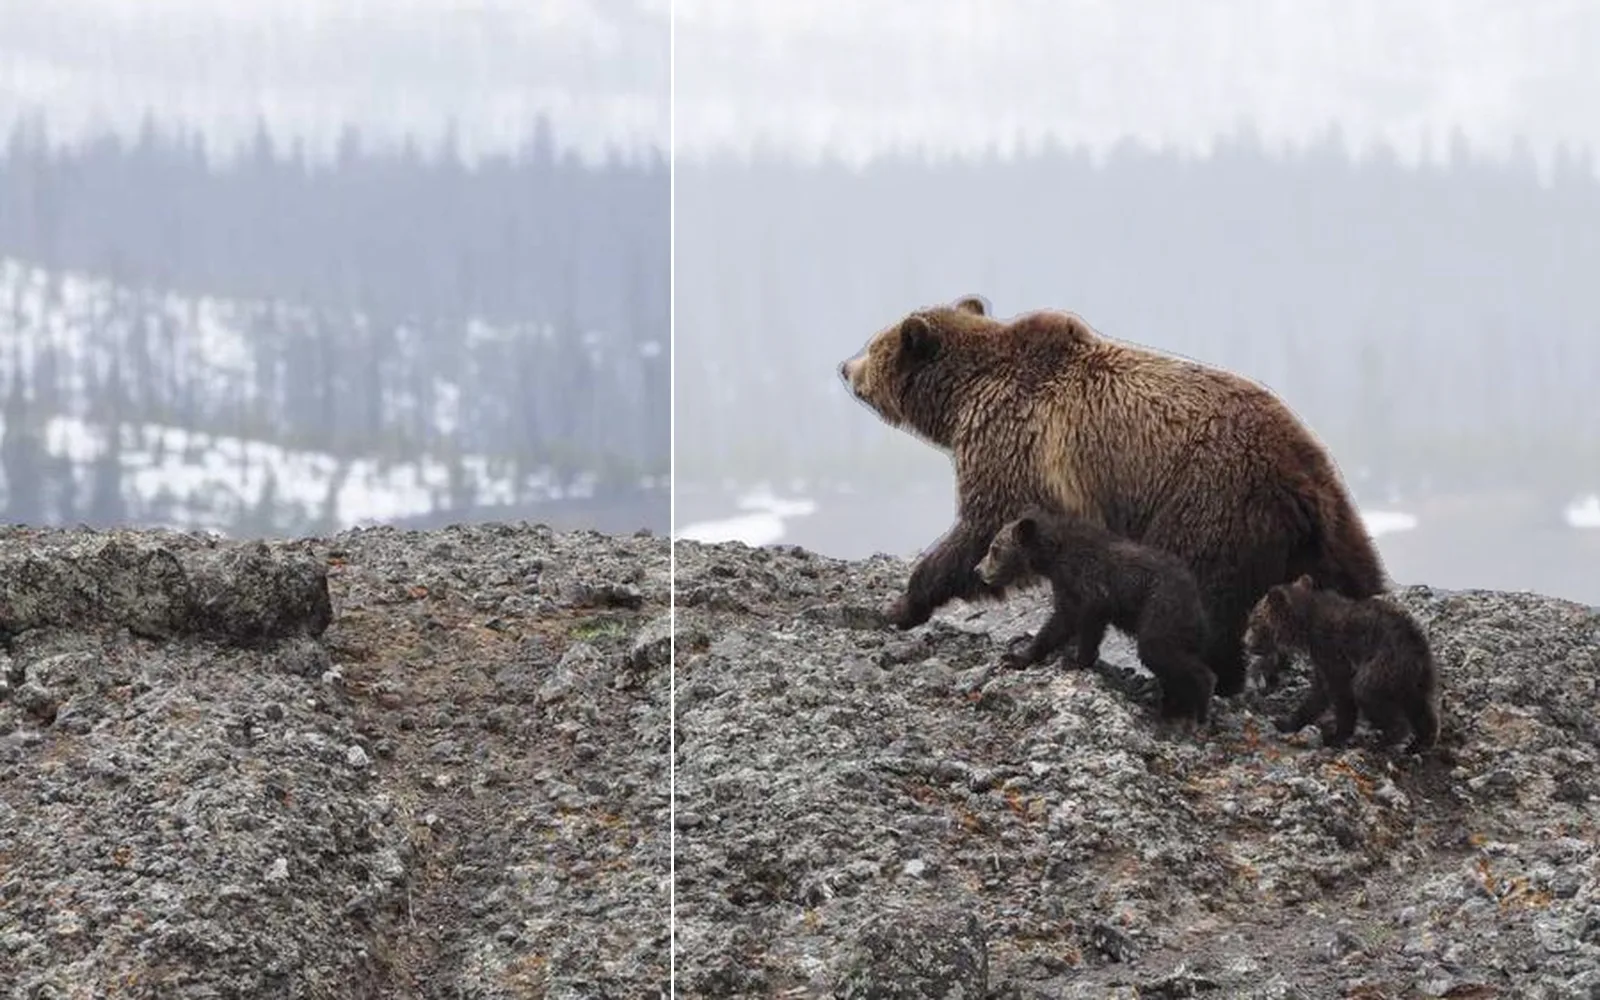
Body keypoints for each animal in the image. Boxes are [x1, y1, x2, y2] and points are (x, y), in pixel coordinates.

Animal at [975, 507, 1217, 723]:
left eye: (994, 549)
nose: (978, 569)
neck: (1053, 556)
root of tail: (1197, 602)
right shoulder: (1065, 586)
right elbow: (1058, 623)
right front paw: (1016, 657)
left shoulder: (1090, 581)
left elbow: (1088, 618)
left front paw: (1076, 660)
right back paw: (1171, 708)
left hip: (1162, 608)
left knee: (1158, 649)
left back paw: (1199, 708)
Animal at [1243, 573, 1441, 754]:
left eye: (1253, 622)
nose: (1245, 642)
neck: (1305, 627)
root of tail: (1417, 645)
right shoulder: (1320, 658)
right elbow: (1318, 694)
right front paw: (1285, 722)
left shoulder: (1331, 650)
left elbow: (1340, 692)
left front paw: (1335, 736)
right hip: (1417, 677)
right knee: (1420, 706)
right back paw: (1420, 743)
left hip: (1384, 663)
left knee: (1366, 692)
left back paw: (1383, 740)